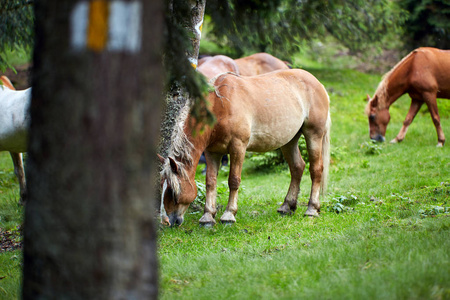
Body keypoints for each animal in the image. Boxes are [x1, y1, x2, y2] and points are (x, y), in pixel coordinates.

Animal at [158, 69, 330, 226]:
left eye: (173, 191)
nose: (168, 221)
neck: (220, 105)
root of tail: (318, 83)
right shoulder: (212, 152)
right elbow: (210, 182)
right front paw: (207, 217)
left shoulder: (238, 147)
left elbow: (234, 180)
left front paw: (228, 215)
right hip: (289, 140)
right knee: (297, 167)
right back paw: (287, 206)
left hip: (313, 134)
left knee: (316, 169)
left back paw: (312, 209)